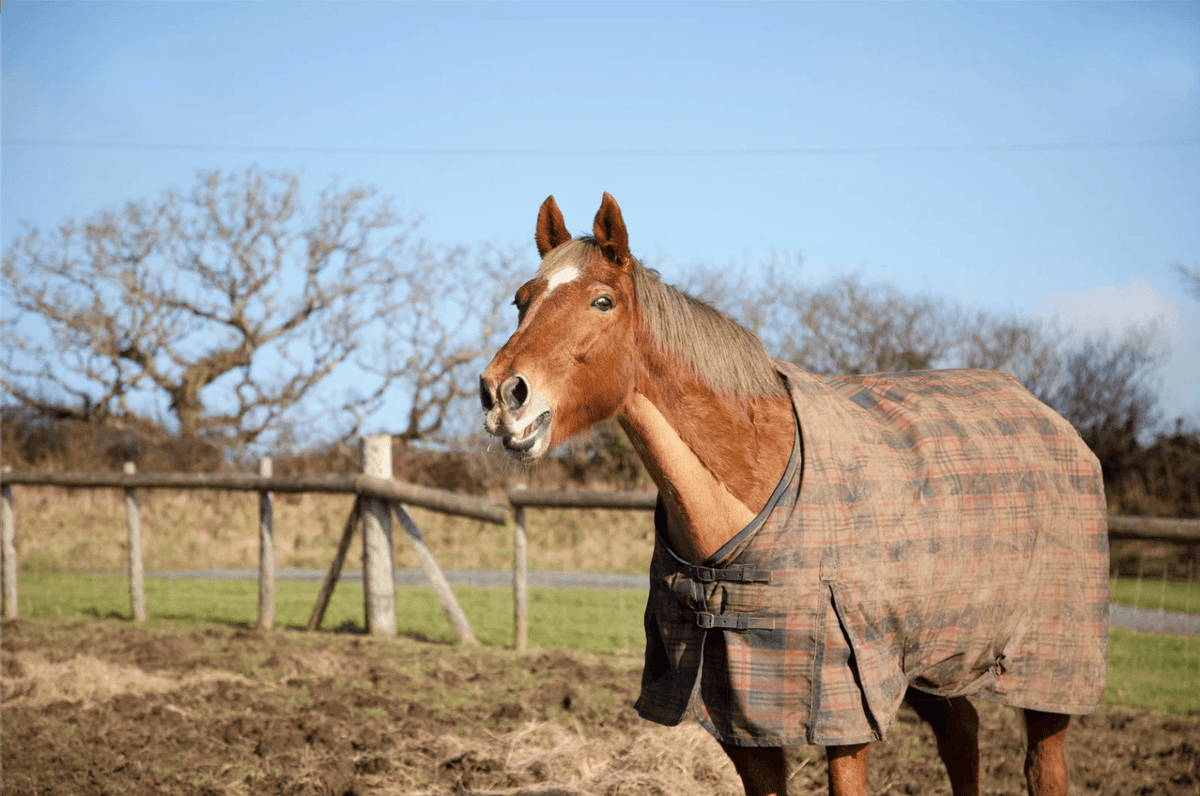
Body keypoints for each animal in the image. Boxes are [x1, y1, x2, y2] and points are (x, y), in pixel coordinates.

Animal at [480, 193, 1108, 796]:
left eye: (602, 301)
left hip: (1047, 667)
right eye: (521, 299)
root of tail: (1053, 421)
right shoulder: (740, 719)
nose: (502, 393)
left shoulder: (844, 709)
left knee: (1043, 765)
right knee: (963, 736)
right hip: (933, 656)